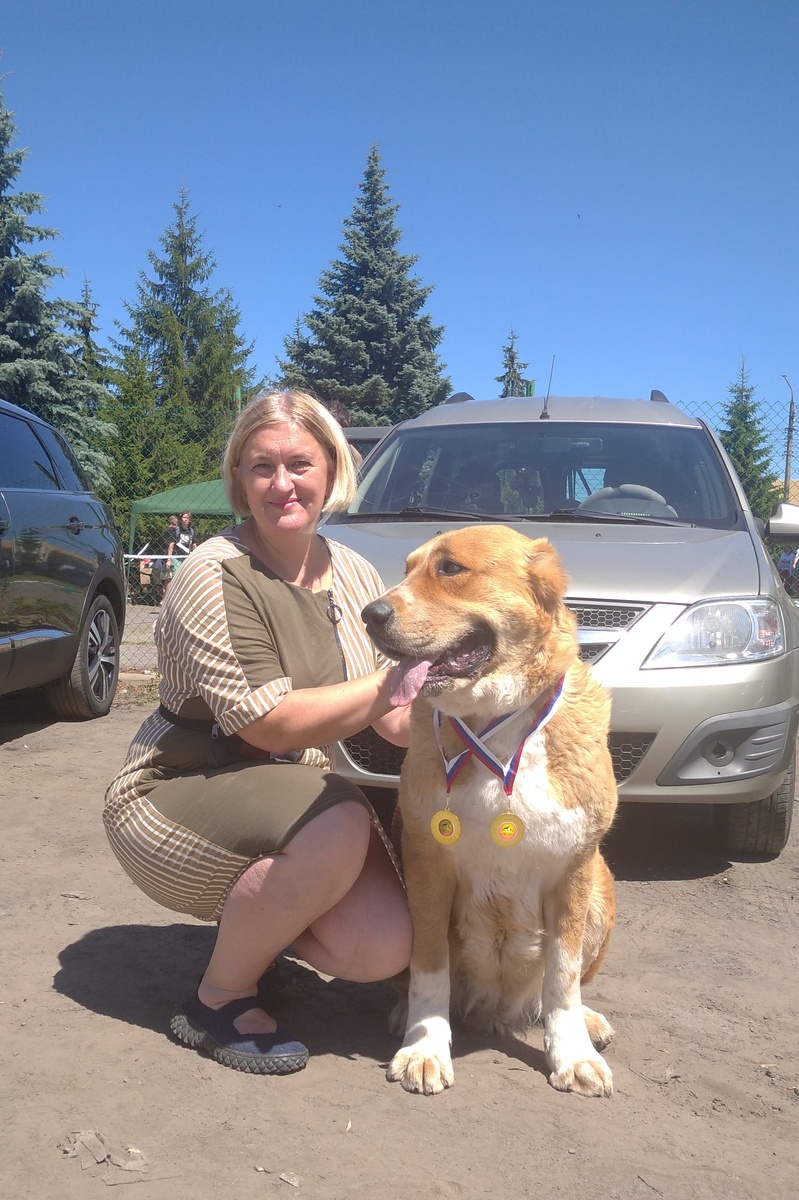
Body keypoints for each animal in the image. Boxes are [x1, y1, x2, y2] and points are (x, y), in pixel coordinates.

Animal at [359, 525, 614, 1099]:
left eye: (450, 568)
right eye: (407, 569)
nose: (370, 614)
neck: (498, 725)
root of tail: (495, 1011)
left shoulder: (575, 871)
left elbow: (563, 979)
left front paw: (572, 1053)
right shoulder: (427, 865)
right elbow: (429, 967)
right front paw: (425, 1045)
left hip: (602, 892)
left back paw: (588, 1023)